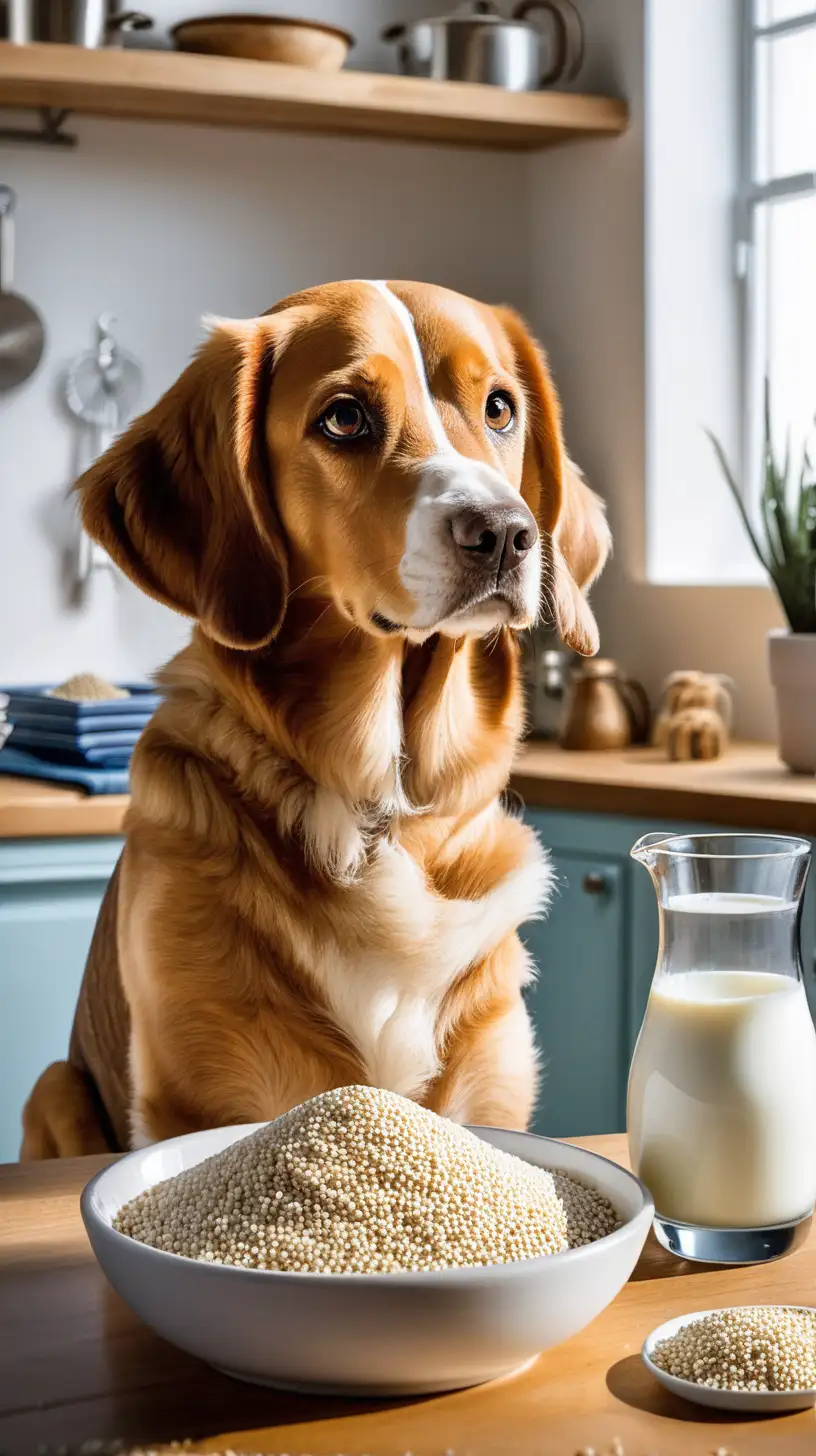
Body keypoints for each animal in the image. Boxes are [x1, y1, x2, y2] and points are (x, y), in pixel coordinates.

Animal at [19, 278, 609, 1153]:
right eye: (345, 417)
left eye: (500, 407)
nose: (507, 533)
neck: (384, 807)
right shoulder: (198, 1095)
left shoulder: (490, 1093)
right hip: (55, 1087)